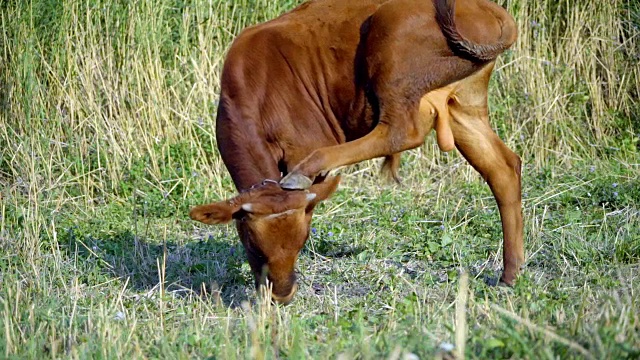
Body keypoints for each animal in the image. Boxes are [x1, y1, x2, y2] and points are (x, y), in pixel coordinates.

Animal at [188, 0, 524, 304]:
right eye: (253, 244)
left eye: (301, 240)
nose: (282, 295)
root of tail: (488, 9)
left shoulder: (305, 142)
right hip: (464, 105)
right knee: (502, 167)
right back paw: (510, 274)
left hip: (392, 52)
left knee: (402, 130)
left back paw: (305, 171)